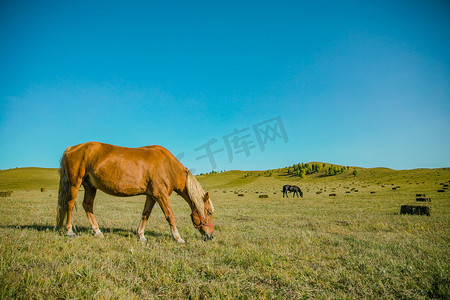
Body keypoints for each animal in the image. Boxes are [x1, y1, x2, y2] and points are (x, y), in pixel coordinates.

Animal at [55, 142, 214, 243]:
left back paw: (97, 231)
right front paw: (178, 238)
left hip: (90, 186)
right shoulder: (161, 195)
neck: (168, 167)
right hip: (75, 183)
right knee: (70, 205)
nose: (211, 236)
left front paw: (141, 236)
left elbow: (145, 214)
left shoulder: (151, 196)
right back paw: (69, 231)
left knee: (87, 205)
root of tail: (71, 149)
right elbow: (170, 216)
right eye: (209, 212)